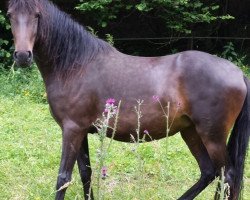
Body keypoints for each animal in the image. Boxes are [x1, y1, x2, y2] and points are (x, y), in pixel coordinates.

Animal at [6, 0, 249, 200]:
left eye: (37, 15)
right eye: (9, 15)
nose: (22, 56)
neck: (76, 66)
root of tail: (238, 73)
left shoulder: (72, 129)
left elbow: (63, 177)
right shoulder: (81, 131)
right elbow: (86, 173)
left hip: (212, 136)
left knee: (227, 175)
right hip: (191, 132)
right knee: (210, 173)